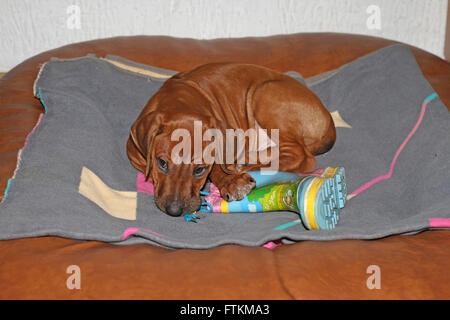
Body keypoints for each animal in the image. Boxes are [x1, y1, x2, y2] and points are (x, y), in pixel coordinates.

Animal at [126, 62, 334, 218]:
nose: (174, 211)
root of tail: (329, 121)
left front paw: (231, 180)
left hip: (264, 95)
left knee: (302, 156)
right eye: (161, 163)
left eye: (199, 169)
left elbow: (218, 165)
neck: (179, 101)